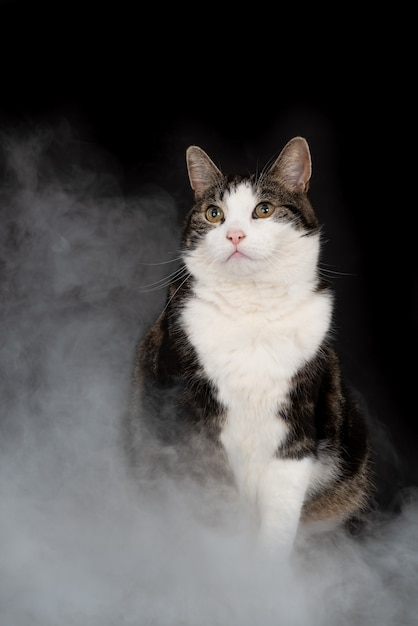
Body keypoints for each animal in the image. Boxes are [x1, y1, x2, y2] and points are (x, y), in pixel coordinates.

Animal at [121, 138, 376, 556]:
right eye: (214, 214)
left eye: (264, 209)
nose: (235, 236)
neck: (252, 309)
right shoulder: (194, 425)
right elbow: (216, 504)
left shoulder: (296, 427)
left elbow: (279, 518)